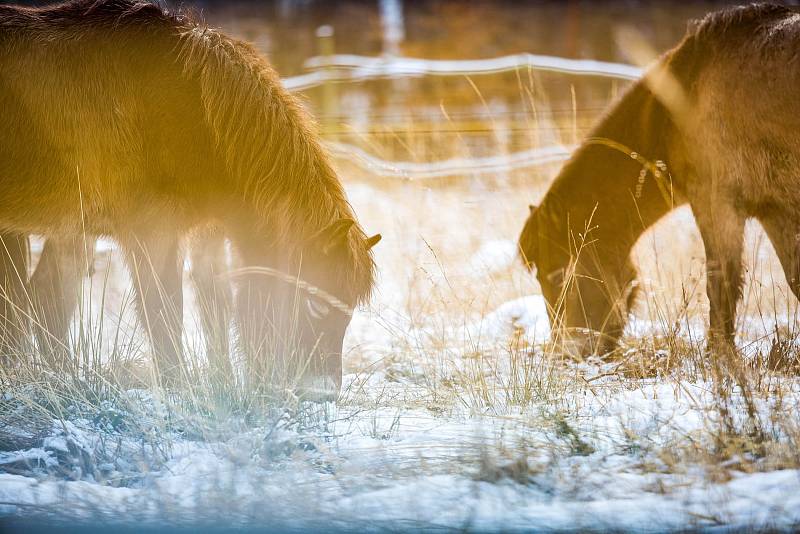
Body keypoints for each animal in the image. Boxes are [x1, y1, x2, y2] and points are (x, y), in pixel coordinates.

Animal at [0, 0, 382, 398]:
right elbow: (165, 318)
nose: (322, 393)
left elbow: (216, 308)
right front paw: (179, 390)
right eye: (314, 303)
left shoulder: (207, 232)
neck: (196, 117)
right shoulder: (152, 236)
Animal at [520, 4, 800, 358]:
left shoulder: (716, 203)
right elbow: (795, 279)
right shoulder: (775, 212)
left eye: (557, 276)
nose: (566, 351)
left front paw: (719, 356)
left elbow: (720, 285)